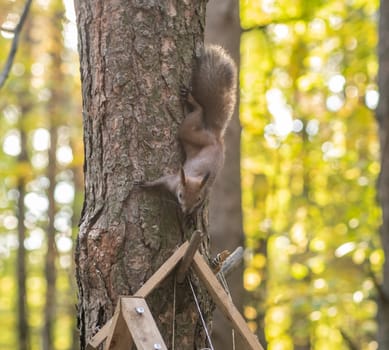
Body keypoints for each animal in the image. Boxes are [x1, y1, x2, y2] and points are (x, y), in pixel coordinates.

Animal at [139, 45, 236, 215]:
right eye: (180, 195)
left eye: (198, 199)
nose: (186, 211)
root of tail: (216, 137)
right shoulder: (172, 181)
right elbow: (161, 181)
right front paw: (148, 184)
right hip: (190, 134)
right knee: (198, 113)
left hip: (192, 135)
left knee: (200, 112)